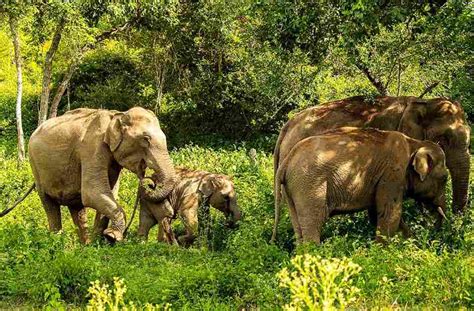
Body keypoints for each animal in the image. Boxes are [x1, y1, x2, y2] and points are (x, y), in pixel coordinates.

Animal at [28, 107, 176, 244]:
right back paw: (55, 241)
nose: (150, 182)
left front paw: (99, 242)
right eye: (145, 139)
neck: (117, 115)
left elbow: (109, 193)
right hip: (36, 167)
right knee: (50, 205)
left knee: (77, 209)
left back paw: (84, 245)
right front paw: (112, 237)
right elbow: (93, 192)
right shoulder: (92, 148)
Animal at [272, 128, 450, 245]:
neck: (415, 143)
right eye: (444, 178)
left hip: (292, 187)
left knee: (298, 227)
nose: (434, 235)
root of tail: (287, 159)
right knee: (313, 222)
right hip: (309, 184)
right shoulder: (392, 174)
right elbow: (390, 213)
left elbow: (378, 213)